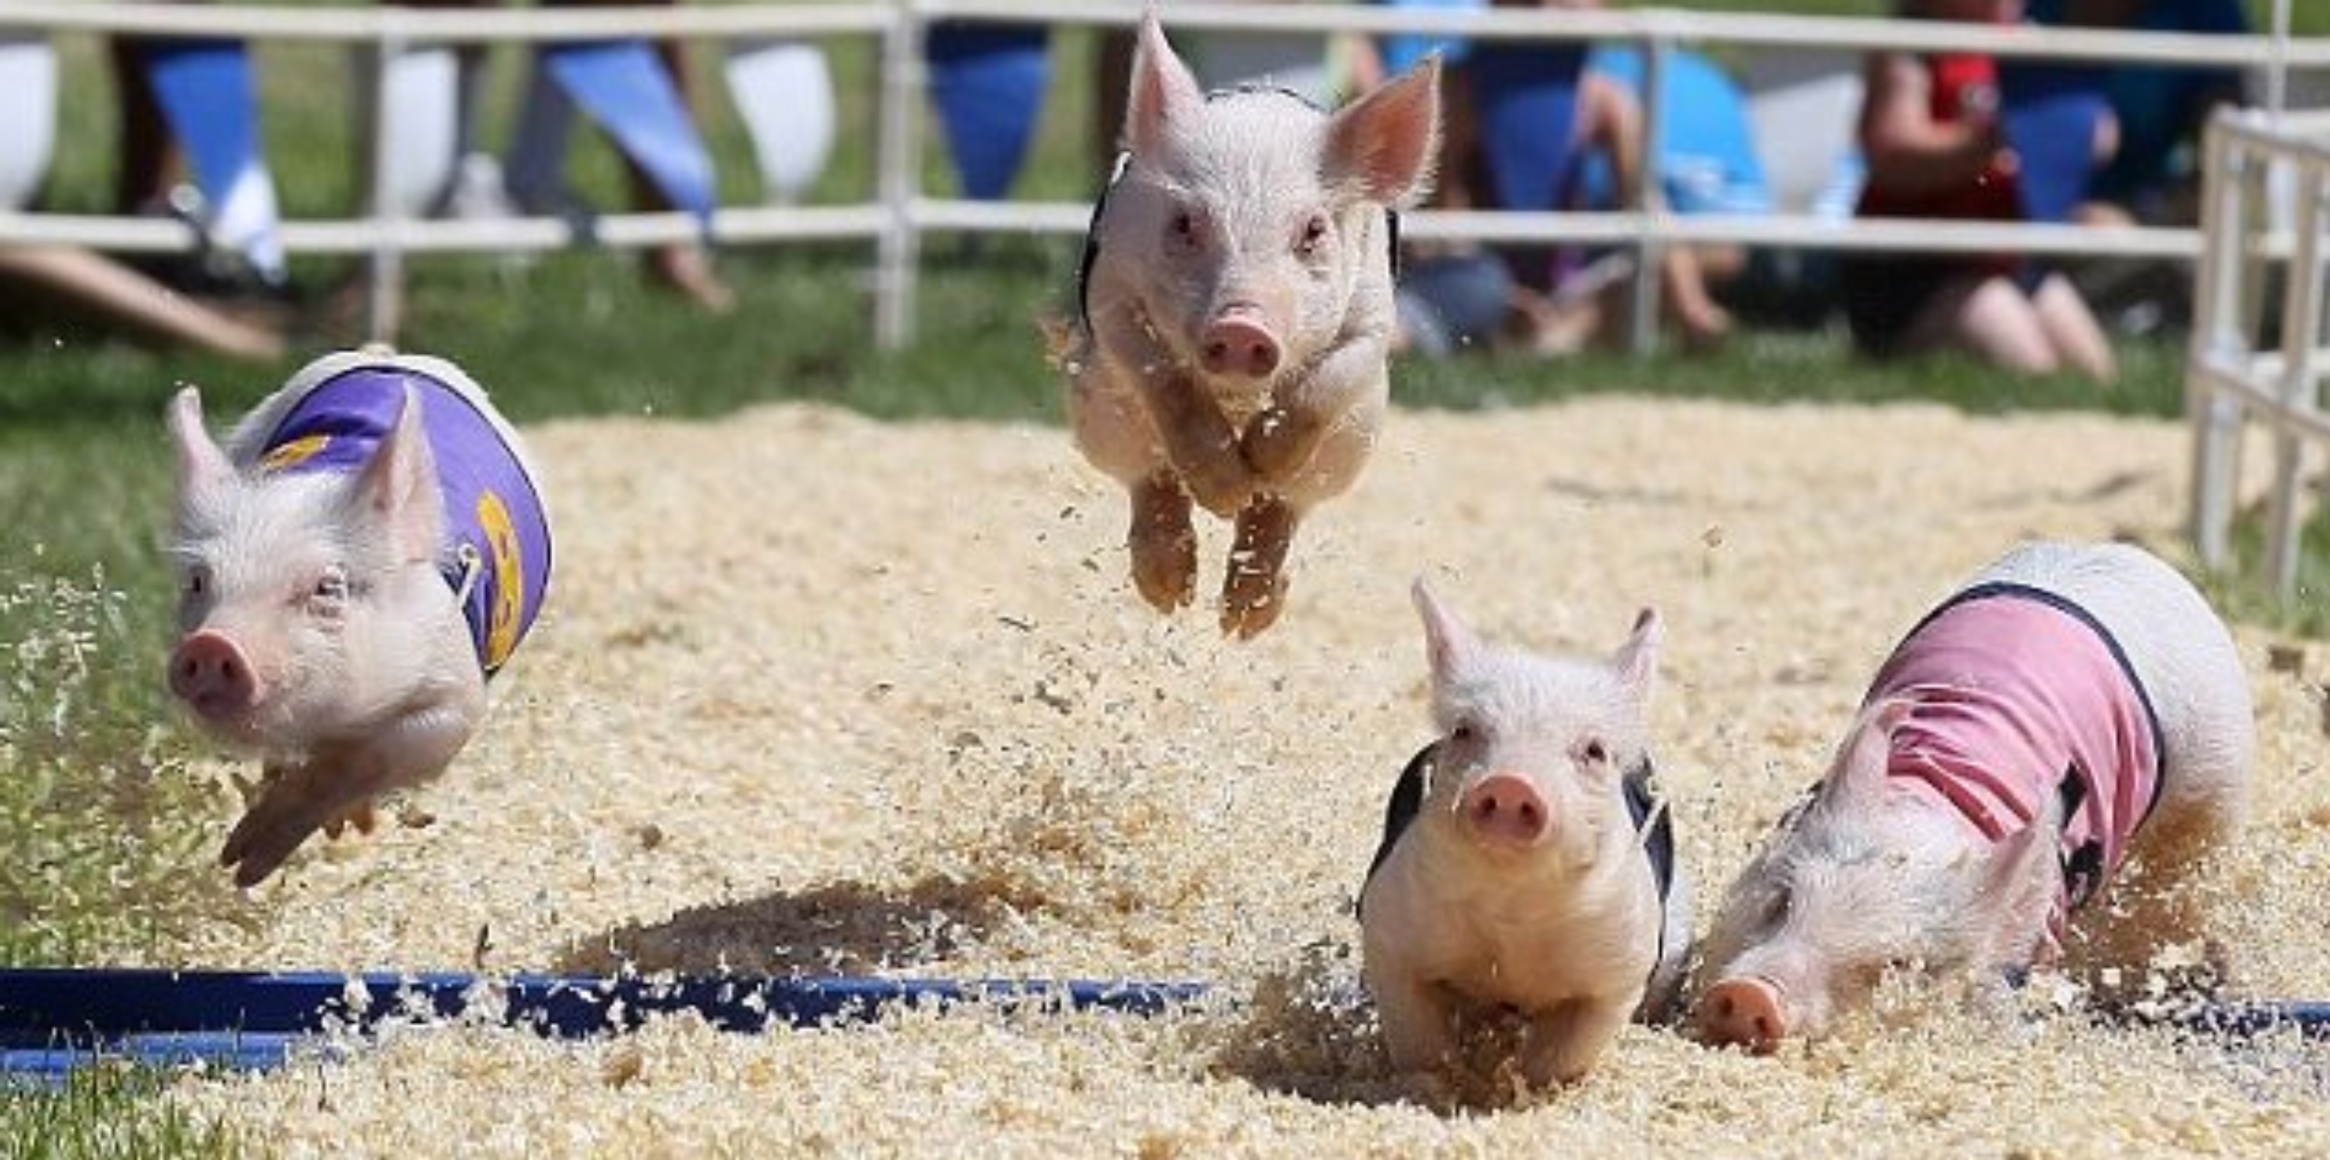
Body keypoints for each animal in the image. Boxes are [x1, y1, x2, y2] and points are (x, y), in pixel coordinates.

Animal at [165, 348, 553, 887]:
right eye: (199, 581)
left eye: (328, 587)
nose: (211, 644)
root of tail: (387, 355)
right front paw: (237, 862)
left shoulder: (455, 687)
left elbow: (382, 751)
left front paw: (249, 861)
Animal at [1061, 12, 1440, 639]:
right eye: (1185, 223)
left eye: (1313, 230)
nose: (1242, 326)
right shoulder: (1111, 289)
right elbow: (1163, 376)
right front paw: (1226, 490)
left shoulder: (1374, 318)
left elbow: (1326, 382)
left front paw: (1259, 466)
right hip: (1097, 413)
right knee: (1148, 475)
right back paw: (1172, 593)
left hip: (1354, 441)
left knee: (1287, 506)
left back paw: (1245, 617)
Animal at [1358, 579, 1692, 1086]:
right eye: (1464, 731)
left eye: (1594, 750)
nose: (1511, 783)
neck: (1512, 914)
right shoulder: (1388, 929)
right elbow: (1418, 1039)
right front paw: (1433, 1087)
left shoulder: (1618, 965)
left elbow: (1565, 1053)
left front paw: (1528, 1087)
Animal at [1694, 540, 2254, 1054]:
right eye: (1781, 900)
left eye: (1899, 966)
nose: (1751, 994)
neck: (1945, 799)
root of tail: (2145, 558)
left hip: (2216, 787)